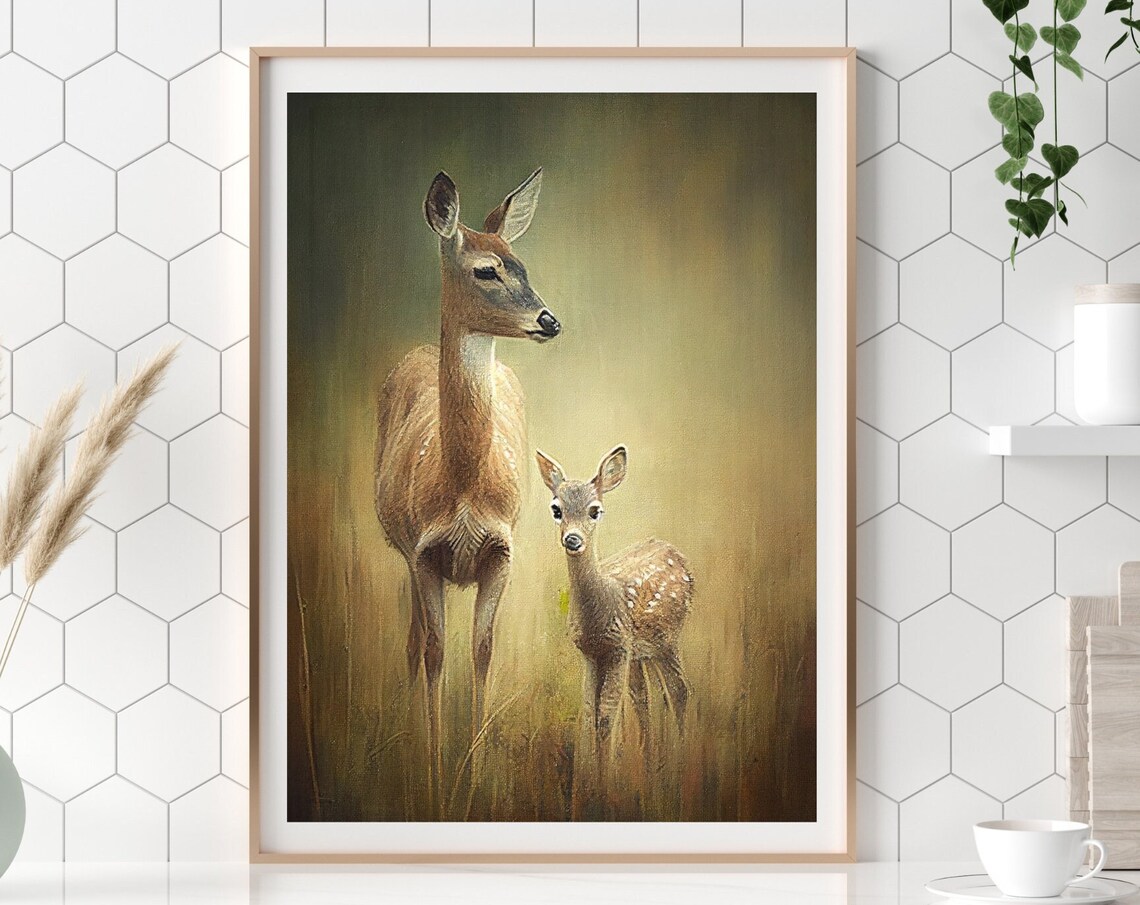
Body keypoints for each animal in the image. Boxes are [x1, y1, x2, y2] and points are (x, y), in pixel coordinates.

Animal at [374, 169, 560, 811]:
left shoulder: (501, 550)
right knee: (411, 644)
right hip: (402, 553)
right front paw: (432, 776)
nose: (550, 321)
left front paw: (474, 777)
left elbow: (482, 651)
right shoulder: (424, 552)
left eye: (523, 264)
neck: (459, 486)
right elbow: (434, 653)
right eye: (487, 270)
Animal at [535, 445, 692, 784]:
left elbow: (606, 716)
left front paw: (603, 784)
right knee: (648, 698)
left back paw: (680, 764)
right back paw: (651, 764)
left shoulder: (619, 647)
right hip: (643, 652)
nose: (573, 539)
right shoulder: (591, 653)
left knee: (680, 691)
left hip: (668, 637)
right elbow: (587, 714)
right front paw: (586, 781)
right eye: (556, 509)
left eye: (595, 510)